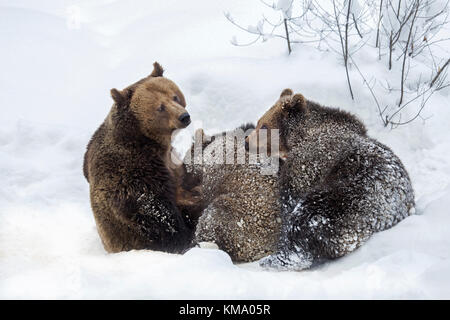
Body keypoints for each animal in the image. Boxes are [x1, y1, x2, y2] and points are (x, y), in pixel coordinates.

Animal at [83, 62, 202, 252]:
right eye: (160, 107)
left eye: (175, 96)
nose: (184, 116)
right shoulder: (133, 172)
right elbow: (157, 212)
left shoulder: (171, 160)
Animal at [246, 89, 414, 270]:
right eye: (258, 121)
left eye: (264, 125)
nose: (246, 143)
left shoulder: (312, 159)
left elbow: (291, 194)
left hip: (352, 199)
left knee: (310, 214)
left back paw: (278, 258)